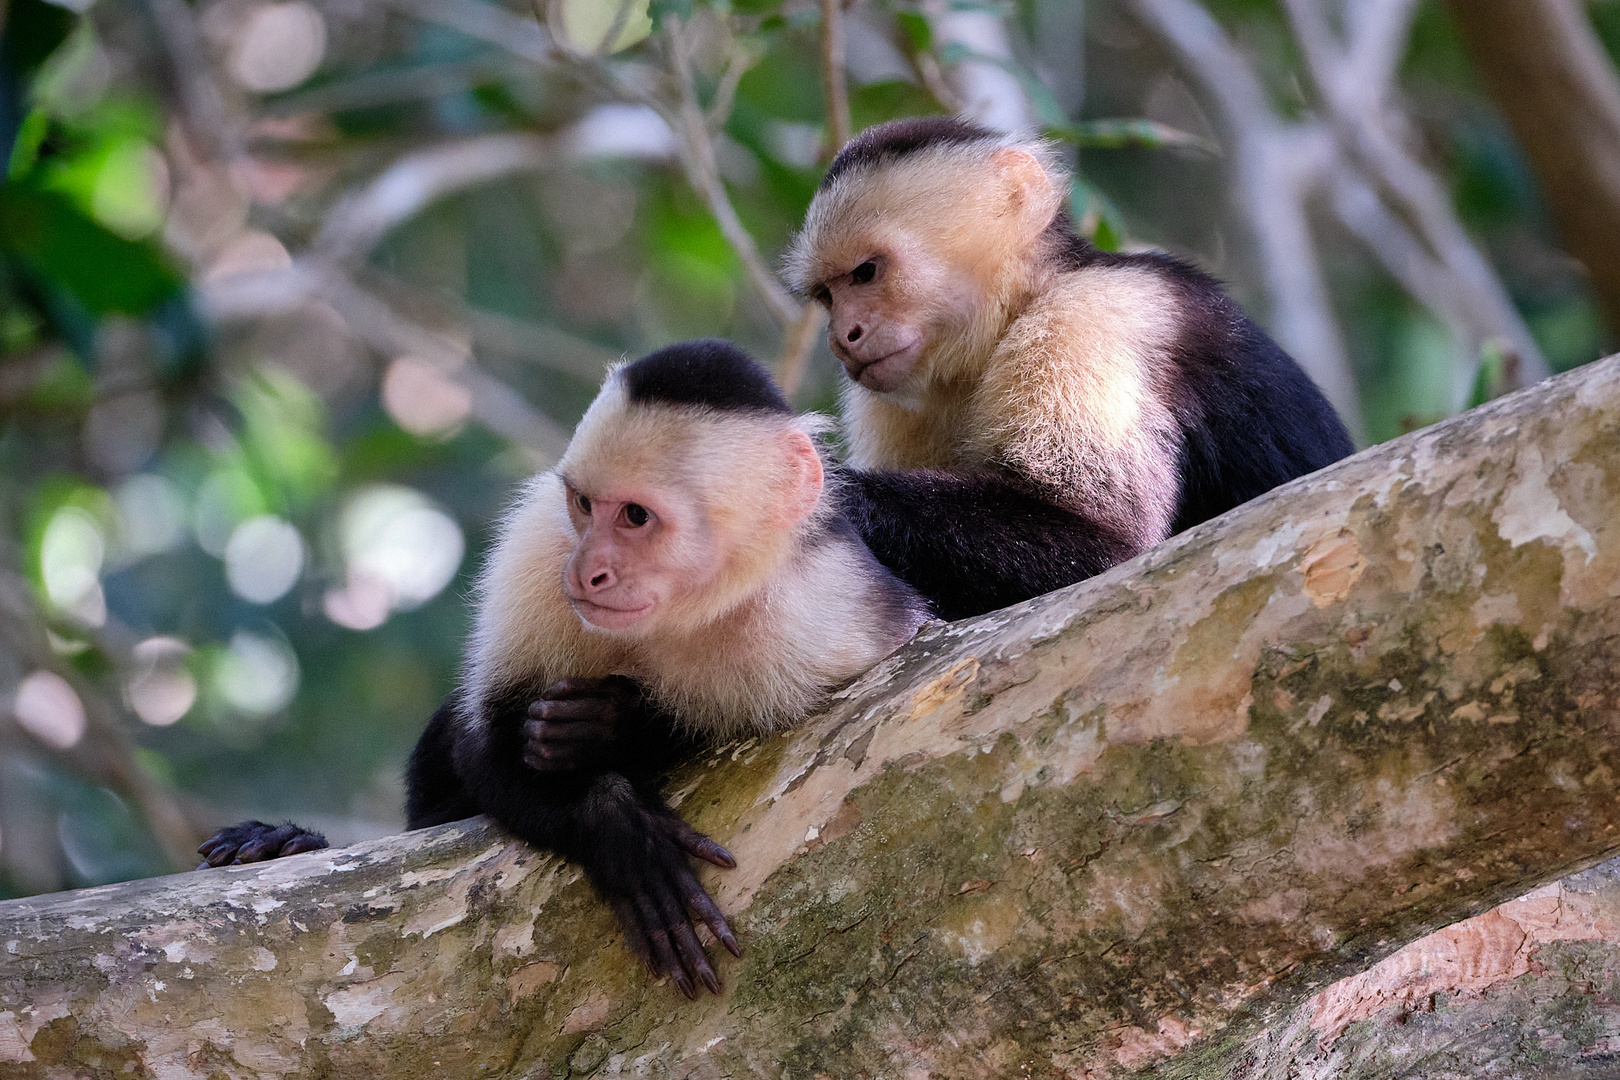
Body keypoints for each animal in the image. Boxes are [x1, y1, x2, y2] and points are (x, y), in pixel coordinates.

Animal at [200, 341, 933, 1003]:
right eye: (584, 504)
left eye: (635, 516)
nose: (587, 571)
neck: (686, 607)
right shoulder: (537, 548)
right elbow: (482, 747)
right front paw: (613, 825)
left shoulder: (827, 617)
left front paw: (615, 726)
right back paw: (279, 845)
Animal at [784, 116, 1354, 615]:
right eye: (827, 296)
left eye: (866, 273)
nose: (842, 339)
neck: (1016, 309)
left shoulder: (1086, 319)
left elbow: (1108, 550)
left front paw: (830, 491)